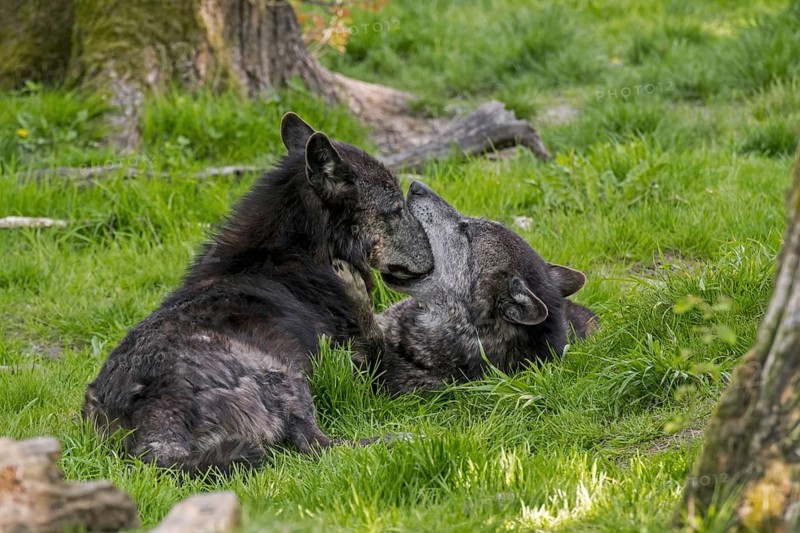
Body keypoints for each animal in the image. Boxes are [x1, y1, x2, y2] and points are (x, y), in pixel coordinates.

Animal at [82, 113, 434, 473]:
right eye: (397, 209)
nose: (434, 259)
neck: (289, 255)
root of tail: (153, 428)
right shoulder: (367, 366)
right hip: (285, 378)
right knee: (319, 446)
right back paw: (402, 439)